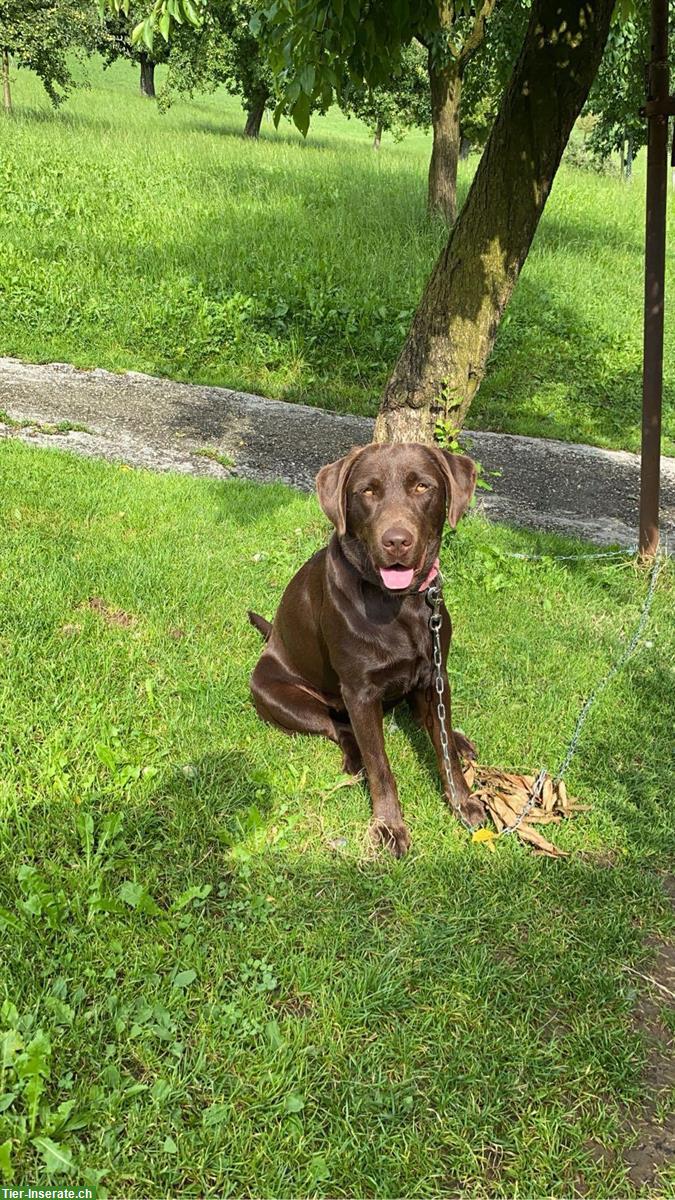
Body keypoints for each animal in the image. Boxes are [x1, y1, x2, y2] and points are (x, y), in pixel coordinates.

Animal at [247, 444, 482, 854]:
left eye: (422, 486)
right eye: (367, 491)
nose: (397, 540)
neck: (401, 603)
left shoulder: (436, 674)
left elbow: (444, 751)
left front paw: (461, 800)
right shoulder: (360, 691)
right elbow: (381, 766)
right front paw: (389, 826)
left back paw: (457, 737)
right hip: (278, 694)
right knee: (337, 728)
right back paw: (354, 757)